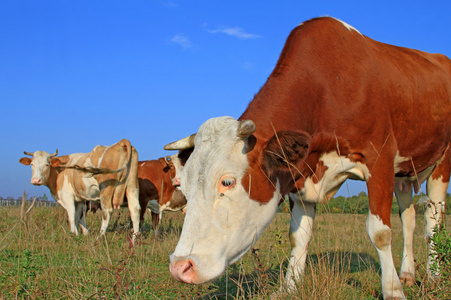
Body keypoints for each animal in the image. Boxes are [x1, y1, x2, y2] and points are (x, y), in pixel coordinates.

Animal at [164, 17, 450, 300]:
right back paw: (408, 273)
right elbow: (298, 236)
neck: (326, 89)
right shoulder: (298, 176)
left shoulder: (379, 160)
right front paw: (288, 287)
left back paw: (433, 276)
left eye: (227, 182)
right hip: (405, 171)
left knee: (433, 219)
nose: (180, 267)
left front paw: (392, 290)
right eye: (184, 187)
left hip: (442, 162)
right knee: (409, 217)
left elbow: (380, 232)